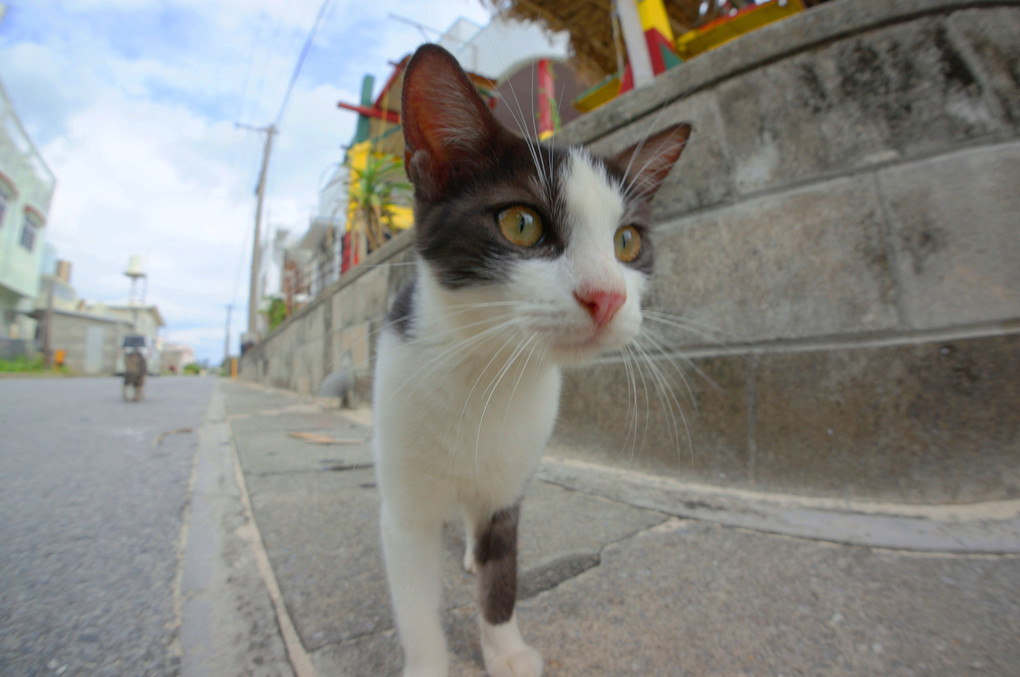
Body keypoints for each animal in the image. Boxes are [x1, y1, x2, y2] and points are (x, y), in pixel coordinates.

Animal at [371, 43, 689, 677]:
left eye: (627, 243)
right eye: (521, 223)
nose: (607, 296)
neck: (484, 370)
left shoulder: (511, 476)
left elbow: (504, 570)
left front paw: (505, 649)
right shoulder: (404, 496)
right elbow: (414, 598)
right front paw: (429, 660)